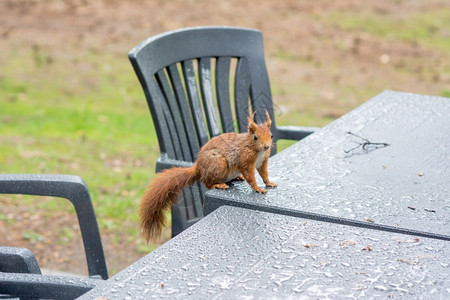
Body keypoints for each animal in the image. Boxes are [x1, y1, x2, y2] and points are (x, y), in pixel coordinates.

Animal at [139, 110, 276, 241]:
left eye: (271, 135)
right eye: (255, 137)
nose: (266, 146)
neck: (255, 149)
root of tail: (198, 168)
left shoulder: (263, 161)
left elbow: (264, 173)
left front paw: (269, 183)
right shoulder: (245, 161)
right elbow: (250, 176)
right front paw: (258, 188)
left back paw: (237, 177)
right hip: (219, 164)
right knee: (207, 182)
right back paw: (219, 185)